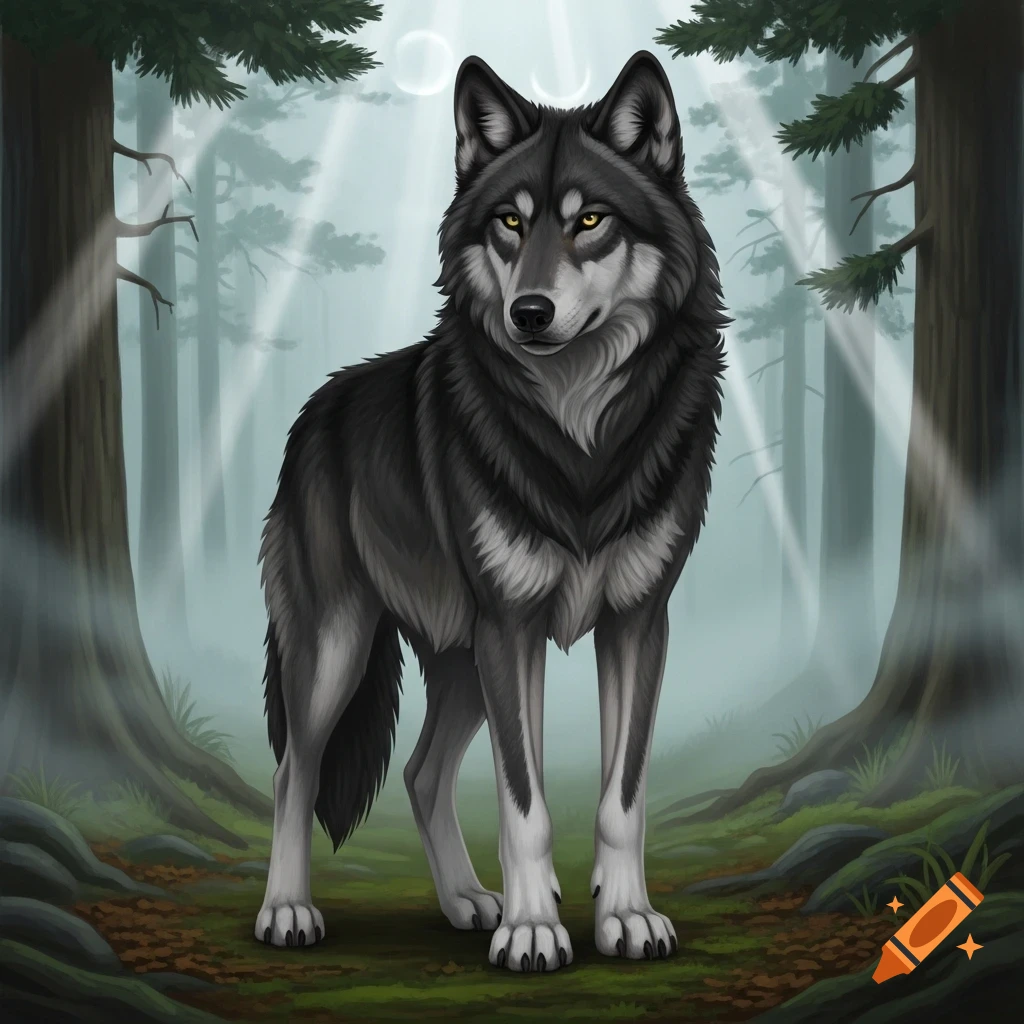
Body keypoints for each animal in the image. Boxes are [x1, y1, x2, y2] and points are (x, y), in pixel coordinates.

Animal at [254, 49, 728, 972]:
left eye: (590, 222)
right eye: (510, 221)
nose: (529, 313)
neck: (580, 439)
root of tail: (315, 411)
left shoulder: (635, 621)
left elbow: (620, 799)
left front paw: (623, 916)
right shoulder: (512, 625)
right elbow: (525, 802)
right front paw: (535, 930)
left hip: (462, 660)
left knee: (420, 774)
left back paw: (470, 900)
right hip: (340, 649)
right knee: (296, 772)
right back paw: (289, 910)